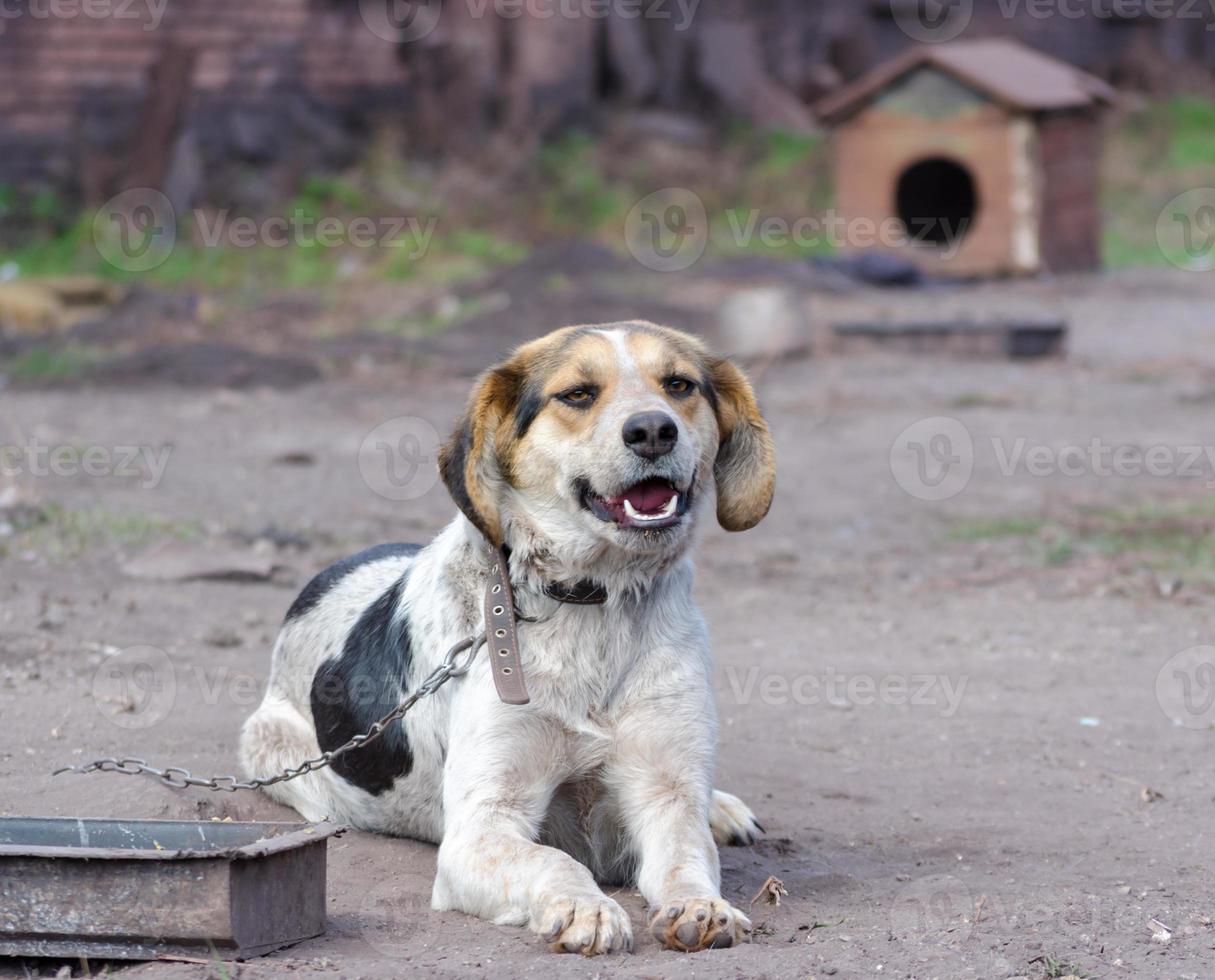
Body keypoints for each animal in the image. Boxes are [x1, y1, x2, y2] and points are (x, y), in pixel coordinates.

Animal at [239, 323, 777, 956]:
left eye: (679, 385)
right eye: (577, 394)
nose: (653, 430)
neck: (591, 602)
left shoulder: (666, 791)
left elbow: (686, 857)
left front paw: (701, 905)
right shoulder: (481, 826)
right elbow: (554, 860)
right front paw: (585, 908)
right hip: (277, 752)